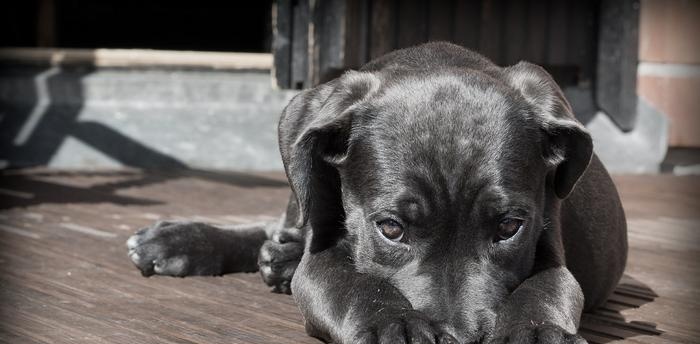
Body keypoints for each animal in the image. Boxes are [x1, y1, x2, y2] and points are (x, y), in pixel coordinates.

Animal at [127, 43, 628, 344]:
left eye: (509, 227)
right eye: (390, 228)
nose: (460, 337)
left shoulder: (550, 244)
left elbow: (547, 289)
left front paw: (535, 332)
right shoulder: (324, 255)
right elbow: (352, 284)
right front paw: (395, 325)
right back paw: (180, 240)